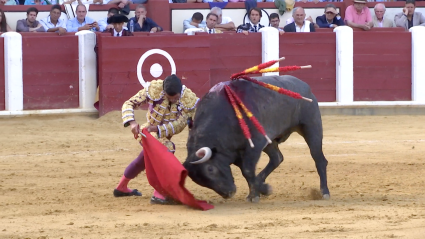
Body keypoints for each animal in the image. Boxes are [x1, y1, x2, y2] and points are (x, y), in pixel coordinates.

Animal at [181, 75, 330, 203]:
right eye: (199, 181)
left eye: (210, 169)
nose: (229, 193)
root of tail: (305, 86)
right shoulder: (237, 152)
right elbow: (248, 172)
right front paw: (256, 192)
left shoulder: (255, 145)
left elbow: (247, 171)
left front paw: (261, 191)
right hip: (270, 141)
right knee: (277, 158)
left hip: (311, 127)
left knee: (319, 159)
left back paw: (324, 192)